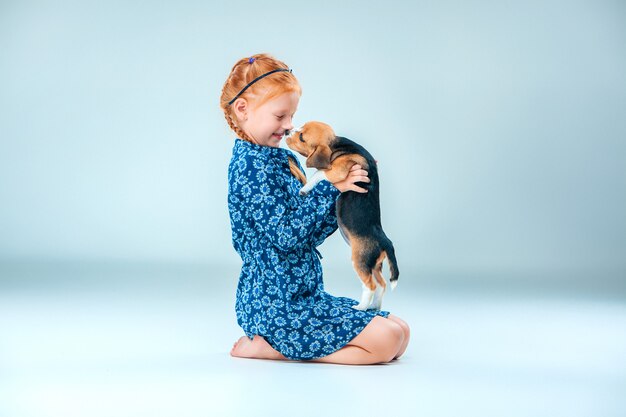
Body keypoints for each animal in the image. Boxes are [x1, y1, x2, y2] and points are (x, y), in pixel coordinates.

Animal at [286, 120, 398, 308]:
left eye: (301, 137)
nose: (287, 131)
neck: (337, 144)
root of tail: (385, 241)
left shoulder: (337, 171)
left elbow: (319, 172)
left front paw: (305, 188)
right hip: (374, 265)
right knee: (381, 284)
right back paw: (374, 307)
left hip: (360, 261)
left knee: (371, 285)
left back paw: (361, 307)